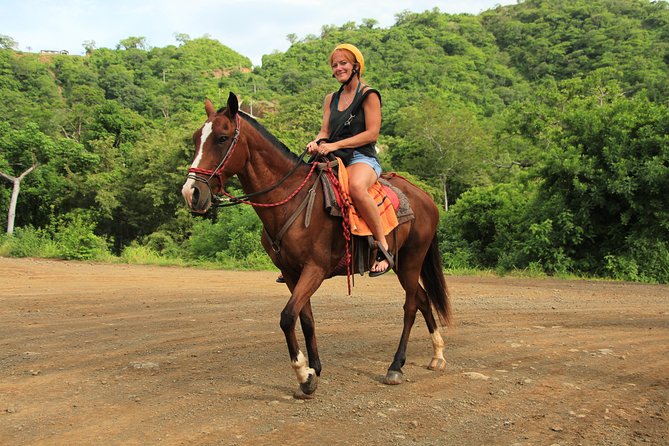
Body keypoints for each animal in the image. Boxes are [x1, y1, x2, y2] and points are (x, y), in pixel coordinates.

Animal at [183, 92, 452, 398]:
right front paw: (315, 368)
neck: (291, 200)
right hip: (404, 265)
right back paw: (437, 354)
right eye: (195, 138)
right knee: (423, 298)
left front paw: (304, 376)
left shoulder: (315, 269)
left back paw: (396, 366)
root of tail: (425, 198)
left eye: (222, 138)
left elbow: (288, 316)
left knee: (410, 305)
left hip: (410, 260)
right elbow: (306, 318)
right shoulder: (291, 273)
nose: (191, 193)